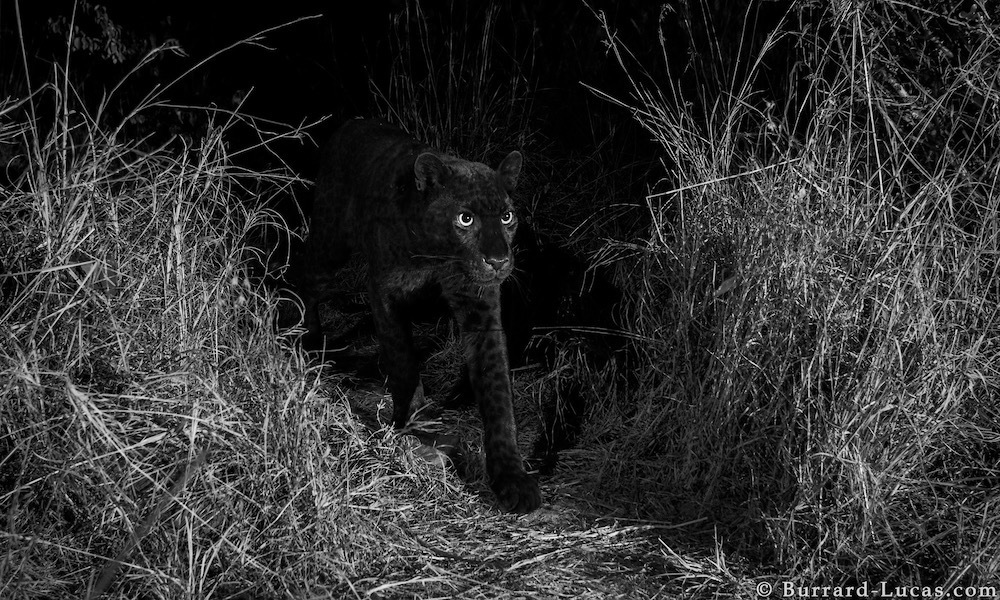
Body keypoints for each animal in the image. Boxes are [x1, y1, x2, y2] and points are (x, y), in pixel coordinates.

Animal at [291, 118, 542, 513]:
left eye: (507, 216)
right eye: (465, 219)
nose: (499, 260)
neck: (438, 256)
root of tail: (351, 122)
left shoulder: (480, 306)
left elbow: (497, 390)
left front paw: (511, 478)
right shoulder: (384, 291)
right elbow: (403, 359)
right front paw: (413, 424)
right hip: (330, 244)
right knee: (304, 274)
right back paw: (307, 339)